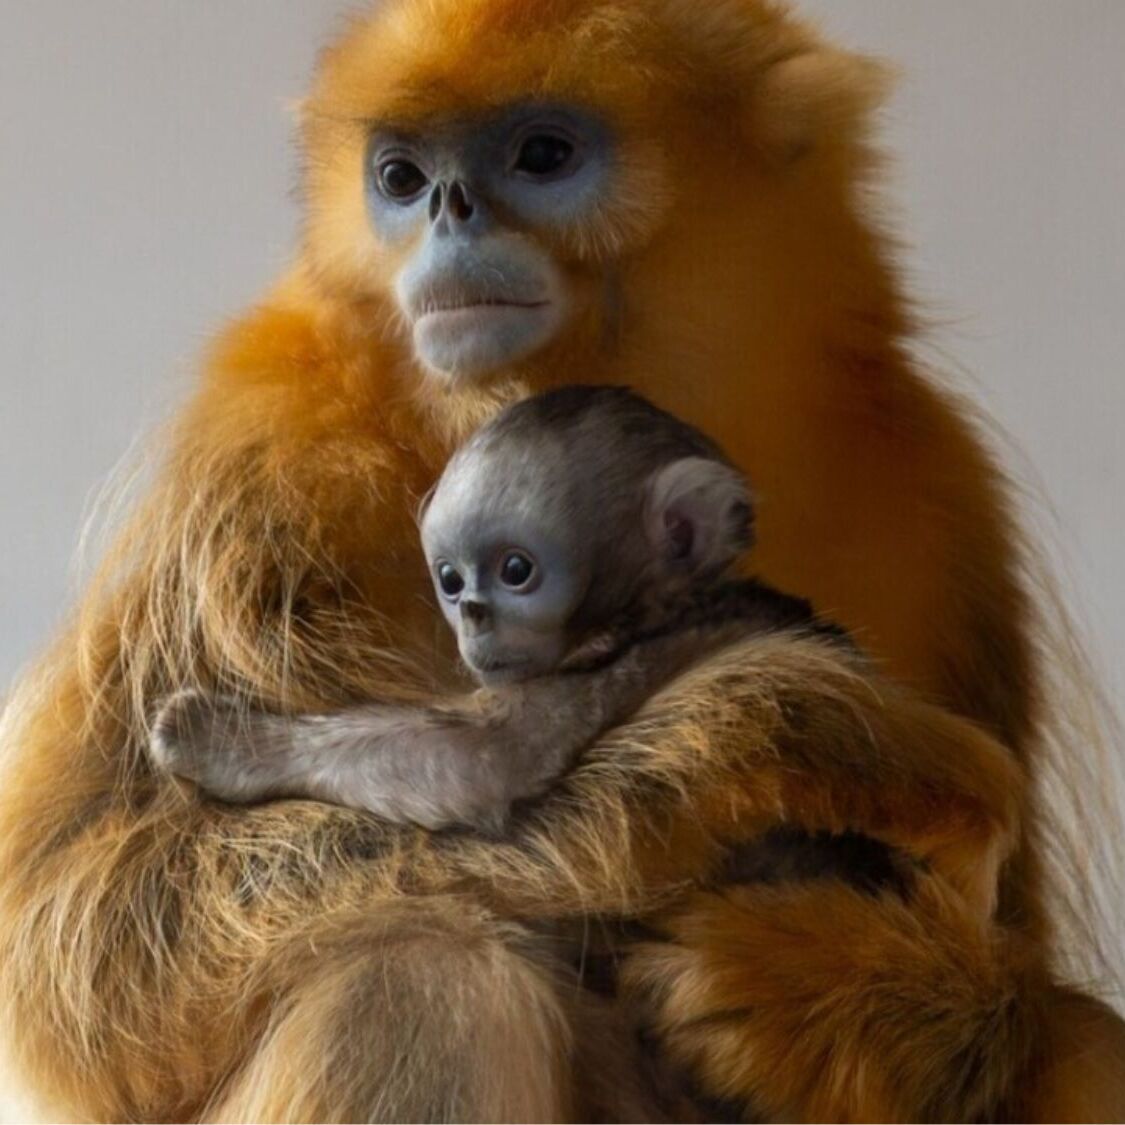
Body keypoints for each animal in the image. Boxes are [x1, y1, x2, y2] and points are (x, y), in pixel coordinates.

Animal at [1, 0, 1123, 1121]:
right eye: (399, 176)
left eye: (542, 155)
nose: (447, 210)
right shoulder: (267, 445)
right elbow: (76, 951)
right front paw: (780, 726)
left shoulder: (941, 470)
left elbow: (1002, 926)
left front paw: (829, 992)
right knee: (415, 962)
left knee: (1076, 1043)